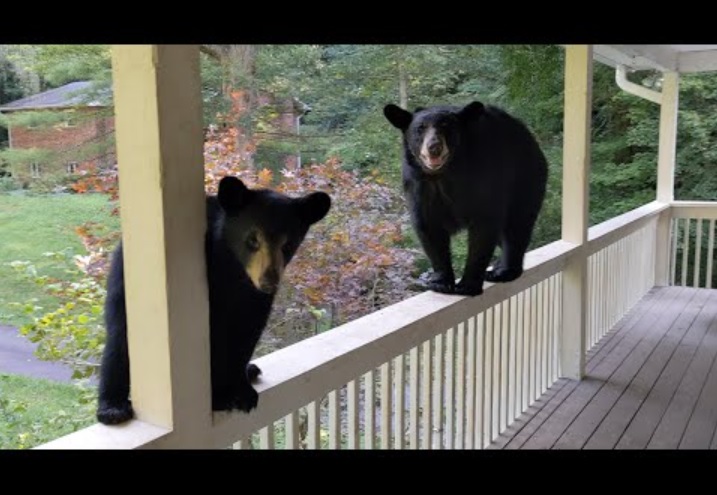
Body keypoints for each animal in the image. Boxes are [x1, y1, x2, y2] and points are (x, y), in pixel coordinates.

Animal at [384, 99, 544, 296]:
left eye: (446, 126)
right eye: (420, 128)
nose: (434, 147)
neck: (445, 173)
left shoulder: (483, 172)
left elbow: (483, 226)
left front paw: (468, 285)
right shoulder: (417, 183)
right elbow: (428, 225)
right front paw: (441, 282)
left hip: (525, 177)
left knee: (517, 224)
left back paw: (504, 271)